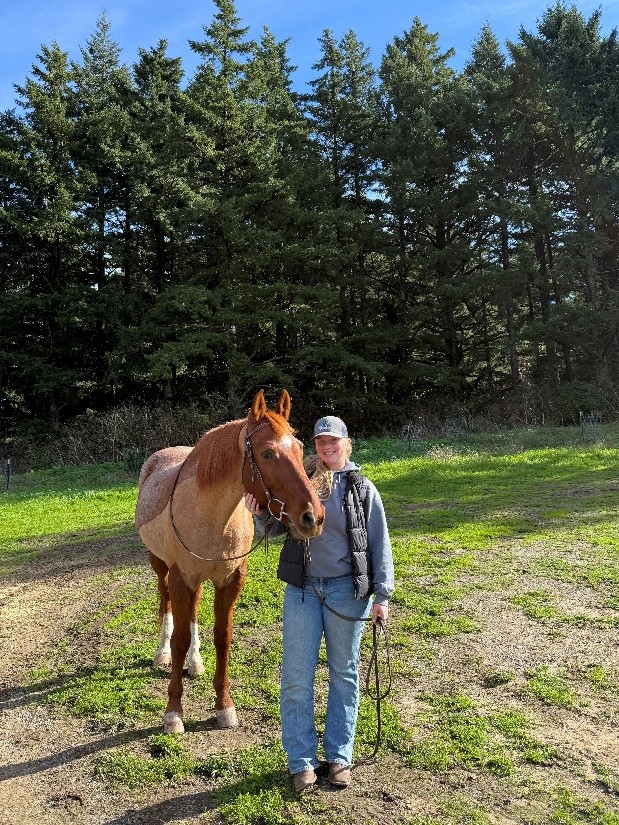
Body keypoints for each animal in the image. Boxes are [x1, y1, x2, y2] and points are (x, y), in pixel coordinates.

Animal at [135, 389, 324, 734]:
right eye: (267, 454)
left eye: (300, 447)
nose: (312, 517)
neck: (211, 516)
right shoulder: (181, 578)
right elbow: (180, 638)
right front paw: (173, 712)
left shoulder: (230, 580)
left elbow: (222, 637)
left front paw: (224, 706)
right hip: (160, 565)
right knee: (165, 602)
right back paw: (162, 654)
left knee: (193, 611)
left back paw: (195, 662)